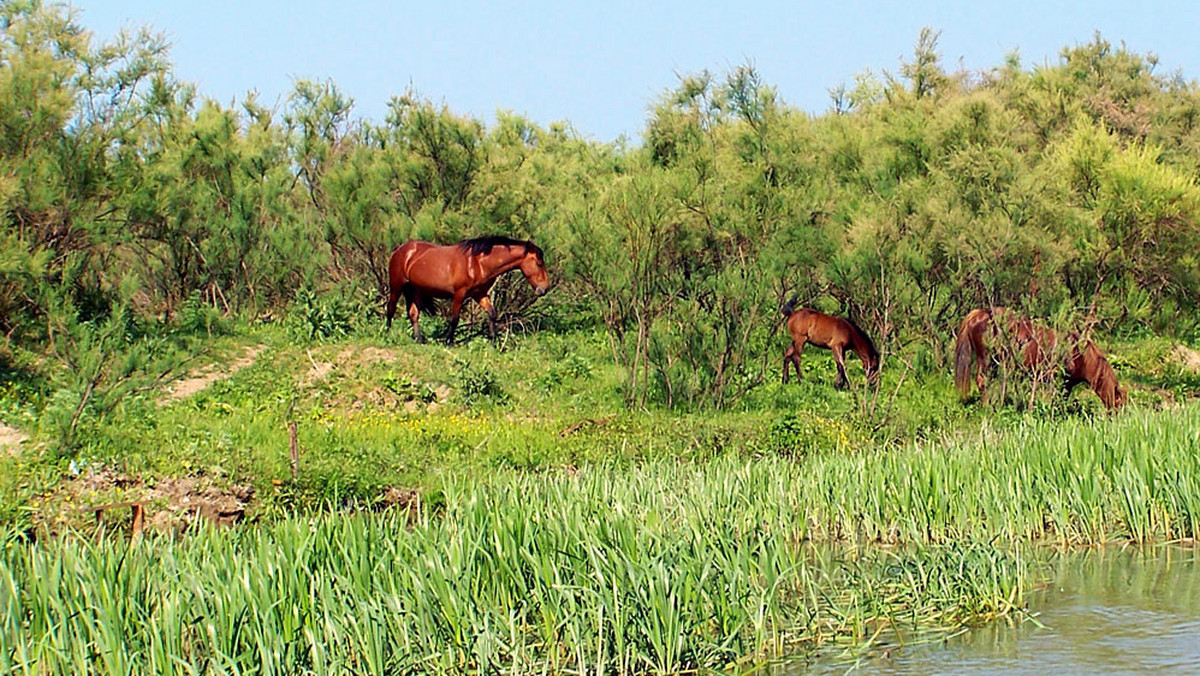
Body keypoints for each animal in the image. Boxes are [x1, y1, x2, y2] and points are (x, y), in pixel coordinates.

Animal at [386, 236, 549, 343]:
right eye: (539, 263)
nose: (545, 289)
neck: (477, 263)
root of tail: (401, 249)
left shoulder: (480, 295)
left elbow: (492, 313)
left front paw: (493, 340)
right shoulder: (459, 294)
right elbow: (454, 319)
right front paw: (449, 342)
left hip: (416, 290)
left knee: (414, 314)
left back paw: (419, 339)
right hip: (397, 285)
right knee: (391, 308)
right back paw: (387, 332)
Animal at [955, 307, 1123, 413]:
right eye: (1121, 404)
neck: (1078, 353)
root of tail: (981, 313)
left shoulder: (1067, 384)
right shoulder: (1058, 379)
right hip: (987, 360)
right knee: (982, 381)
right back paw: (988, 407)